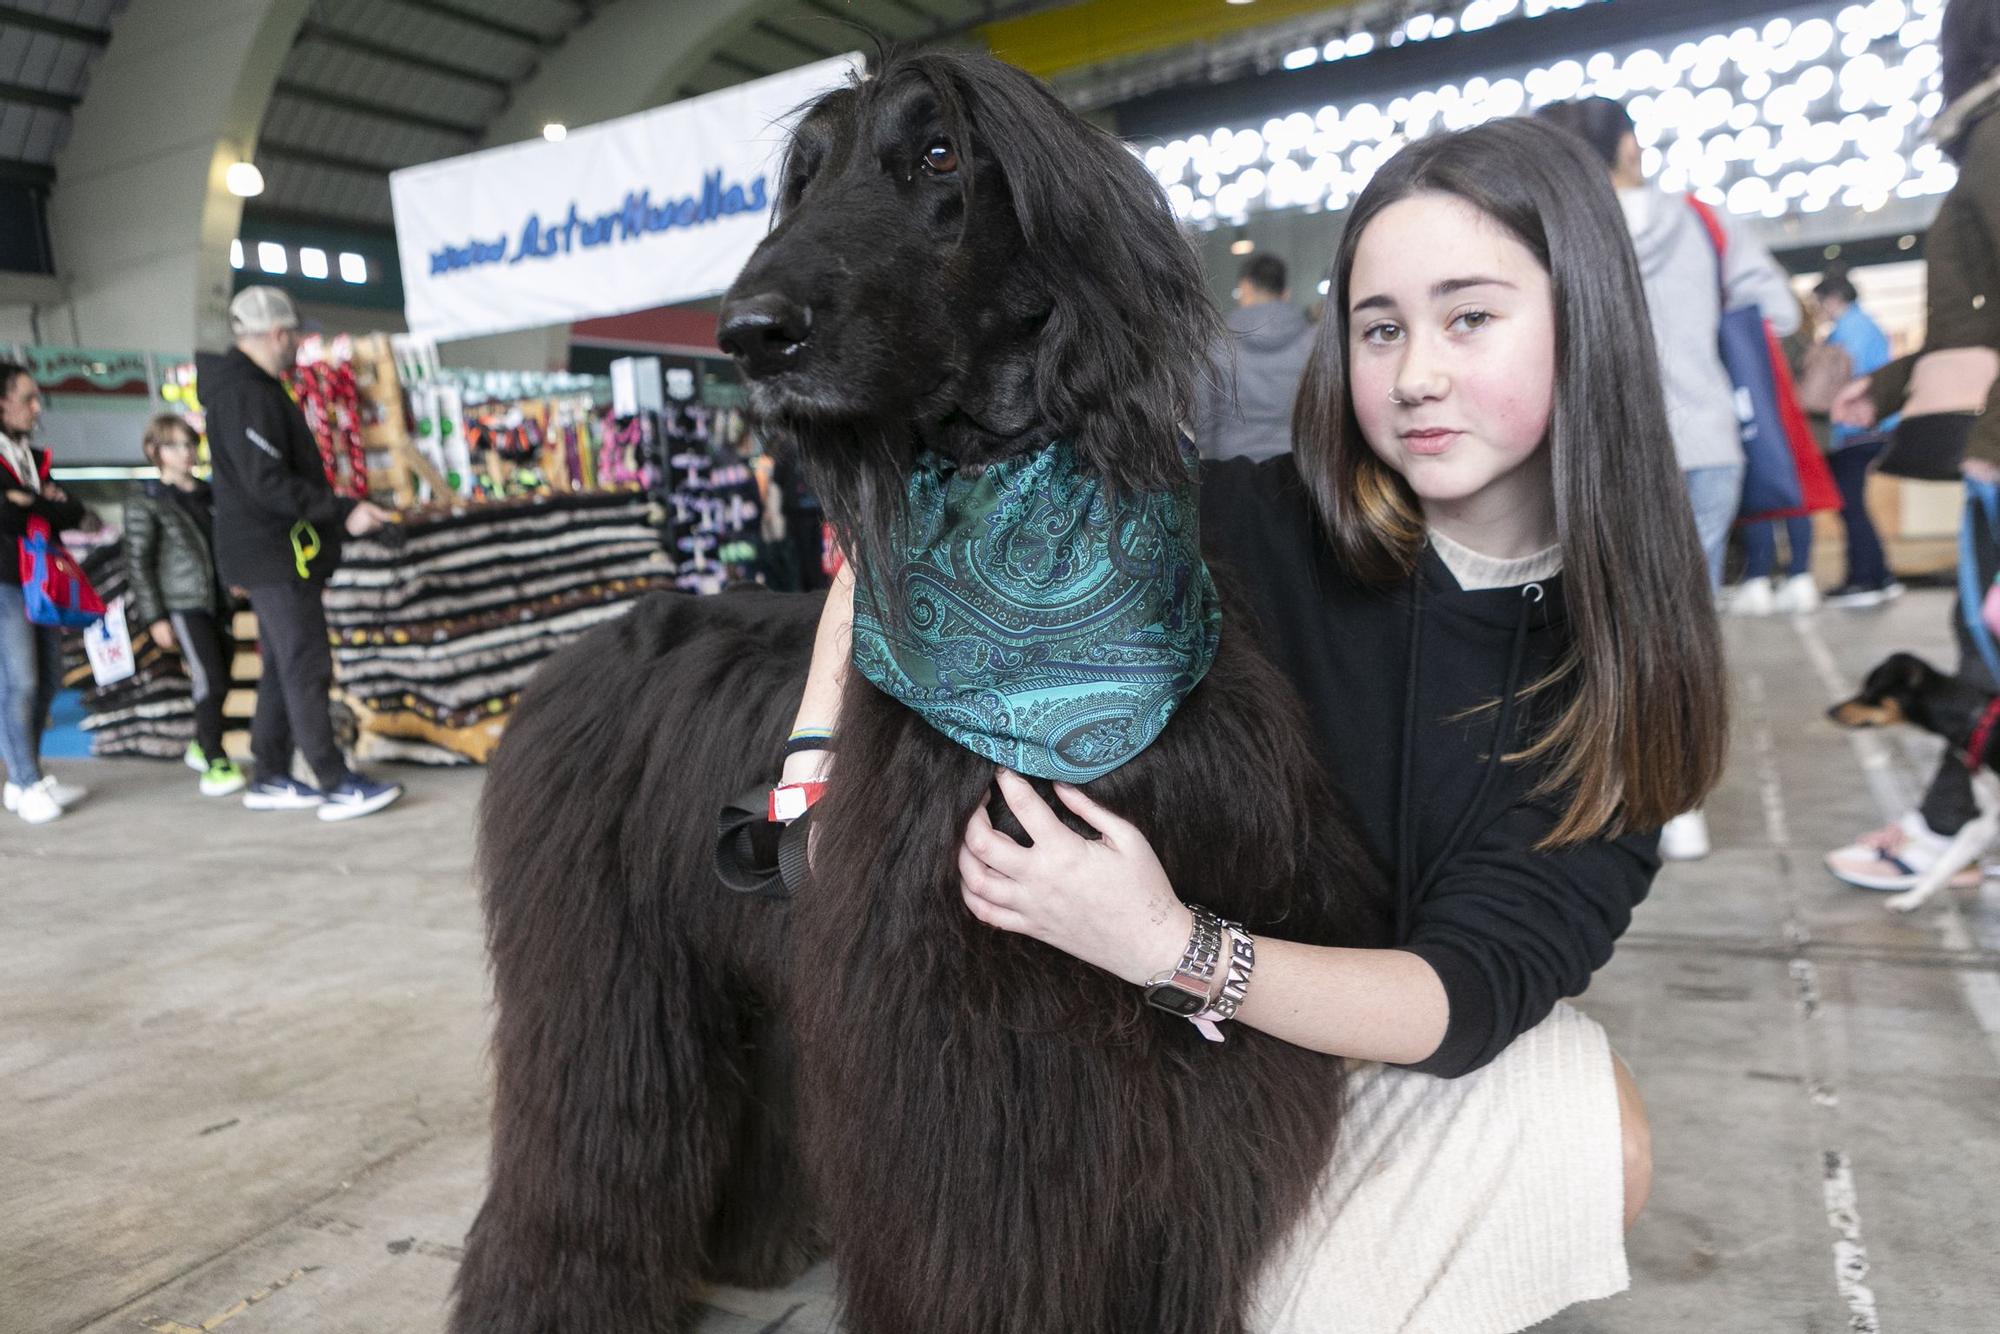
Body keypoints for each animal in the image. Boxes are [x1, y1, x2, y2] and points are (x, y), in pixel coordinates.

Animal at [1832, 652, 2000, 912]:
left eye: (1870, 690)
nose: (1830, 710)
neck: (1975, 720)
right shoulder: (1986, 818)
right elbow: (1944, 865)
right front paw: (1911, 899)